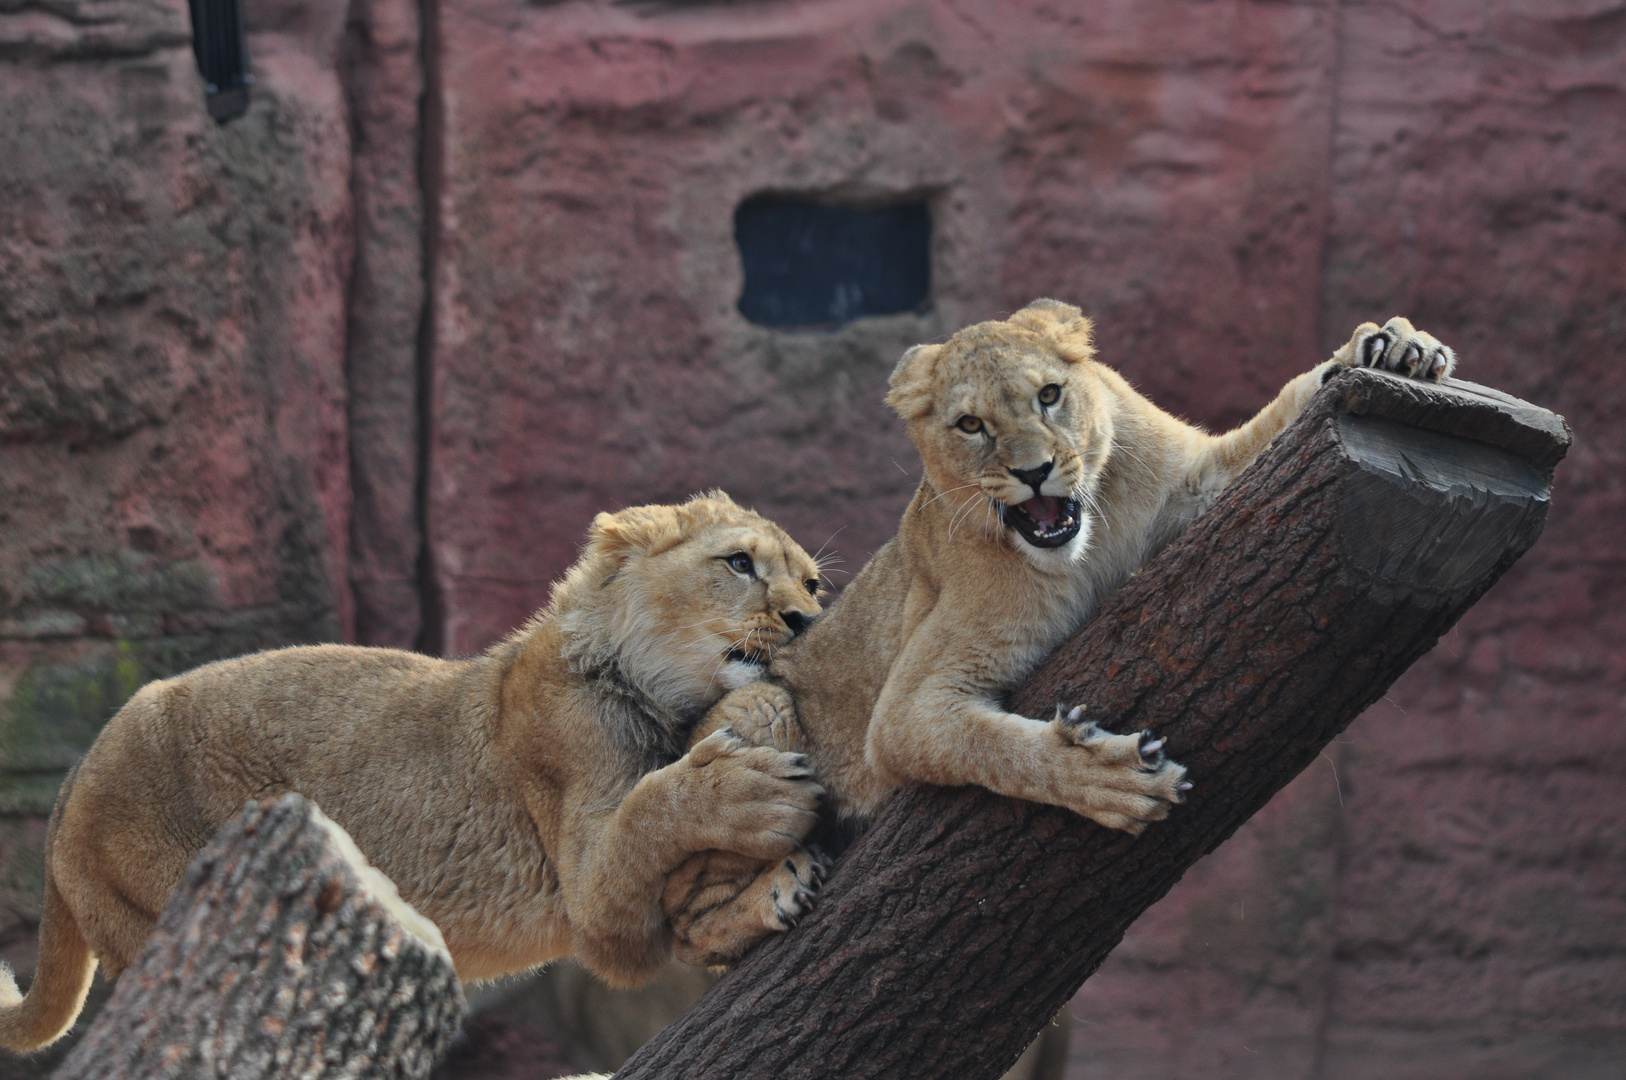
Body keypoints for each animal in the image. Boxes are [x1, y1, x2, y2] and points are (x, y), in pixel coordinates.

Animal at [3, 494, 826, 1047]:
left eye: (812, 583)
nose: (808, 621)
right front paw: (755, 794)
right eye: (739, 564)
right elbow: (651, 810)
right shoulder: (592, 898)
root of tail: (71, 779)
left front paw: (778, 884)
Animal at [666, 307, 1456, 956]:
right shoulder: (904, 710)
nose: (1036, 471)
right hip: (757, 711)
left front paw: (1392, 347)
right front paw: (1108, 777)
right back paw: (778, 890)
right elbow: (995, 748)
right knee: (689, 923)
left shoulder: (1196, 486)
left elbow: (1277, 419)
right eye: (971, 426)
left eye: (1049, 395)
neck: (1088, 543)